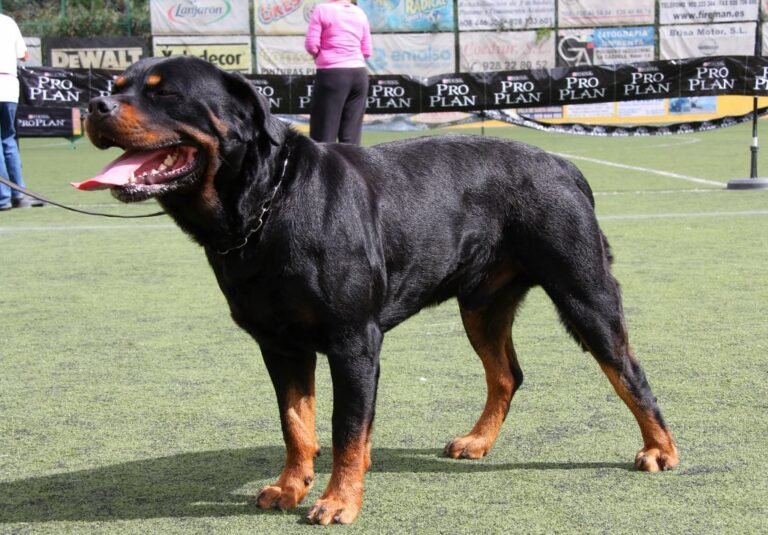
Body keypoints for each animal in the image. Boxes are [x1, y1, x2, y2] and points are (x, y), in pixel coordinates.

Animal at [78, 57, 680, 524]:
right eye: (117, 85)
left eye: (167, 93)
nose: (95, 106)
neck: (268, 205)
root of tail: (564, 164)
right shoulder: (279, 344)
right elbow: (296, 423)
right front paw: (290, 487)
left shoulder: (354, 342)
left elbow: (346, 428)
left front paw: (338, 501)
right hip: (482, 305)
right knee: (507, 374)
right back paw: (478, 441)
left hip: (584, 292)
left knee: (629, 372)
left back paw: (659, 449)